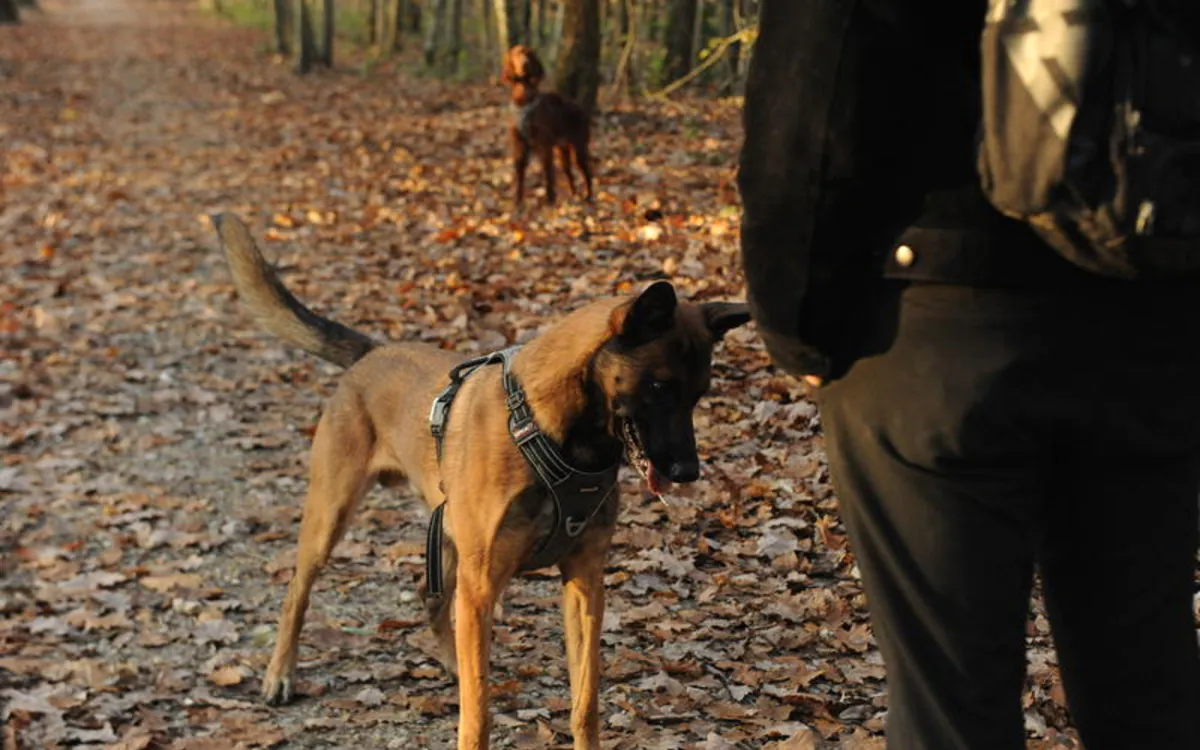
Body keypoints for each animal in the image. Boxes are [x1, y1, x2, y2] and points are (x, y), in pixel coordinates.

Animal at [211, 213, 744, 744]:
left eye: (699, 393)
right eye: (658, 386)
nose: (688, 471)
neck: (551, 430)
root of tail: (372, 353)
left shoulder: (584, 582)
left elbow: (585, 700)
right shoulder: (484, 585)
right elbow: (479, 714)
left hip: (449, 540)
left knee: (432, 604)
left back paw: (451, 663)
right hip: (332, 516)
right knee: (297, 593)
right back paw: (280, 673)